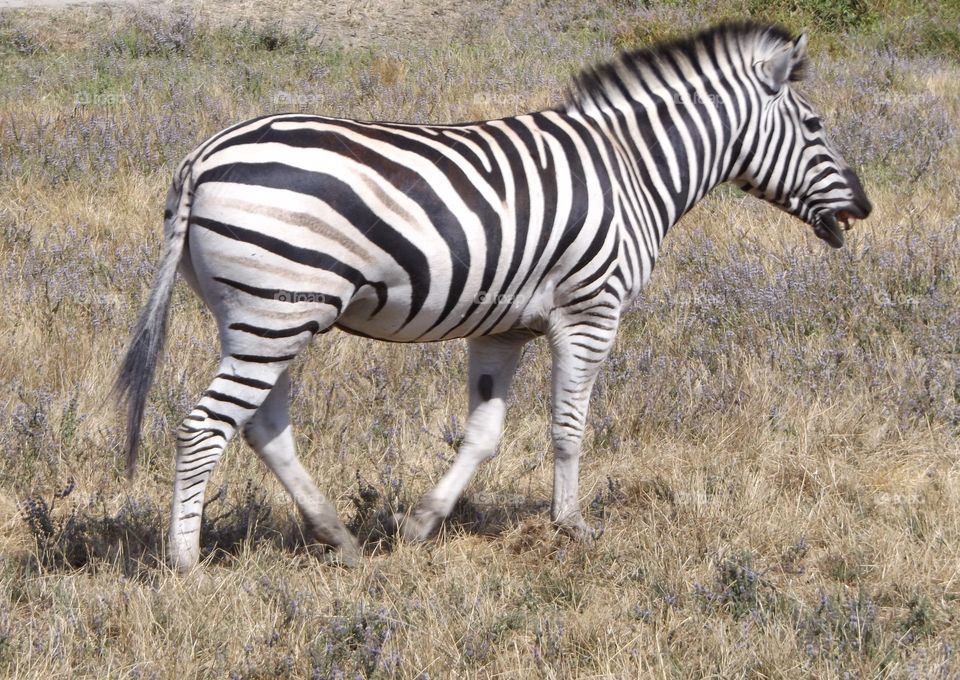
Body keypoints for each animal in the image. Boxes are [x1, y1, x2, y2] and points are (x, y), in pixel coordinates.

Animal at [115, 22, 872, 571]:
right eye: (814, 127)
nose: (864, 208)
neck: (633, 168)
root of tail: (202, 158)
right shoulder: (590, 311)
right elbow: (569, 427)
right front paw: (571, 527)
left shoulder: (502, 327)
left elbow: (483, 435)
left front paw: (421, 525)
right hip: (277, 309)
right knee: (204, 426)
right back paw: (186, 563)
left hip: (261, 316)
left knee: (263, 425)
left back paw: (340, 539)